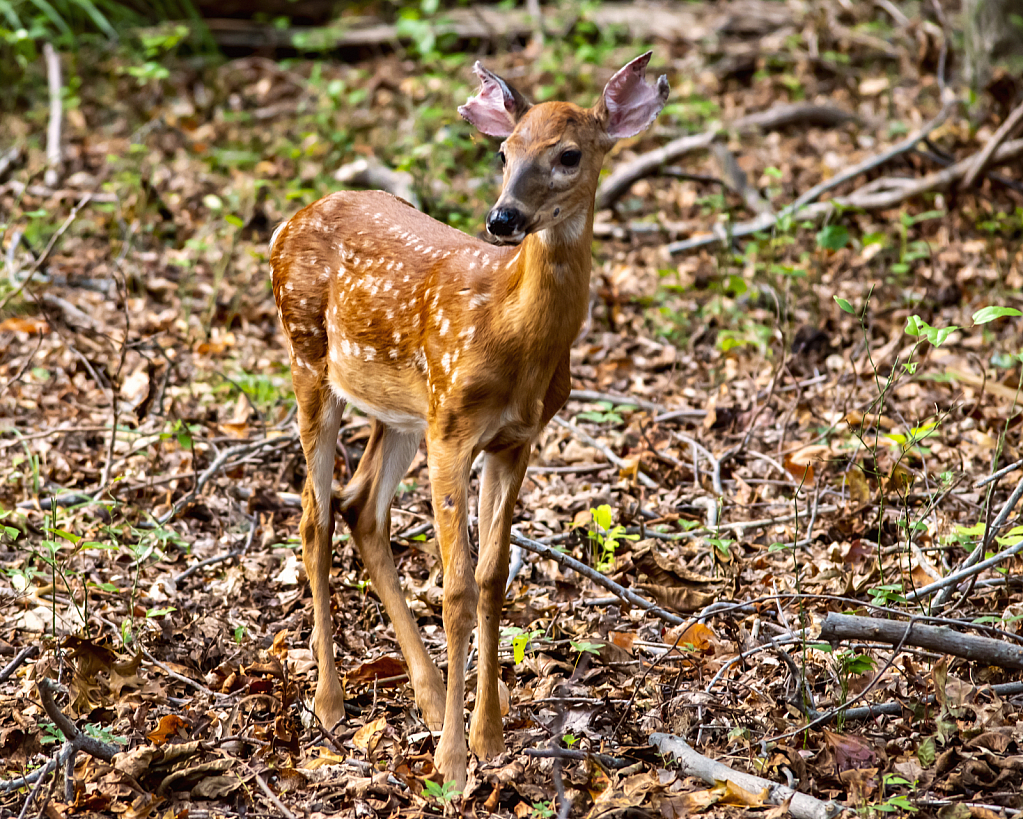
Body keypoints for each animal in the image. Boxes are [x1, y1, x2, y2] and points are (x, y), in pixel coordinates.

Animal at [270, 54, 671, 789]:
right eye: (502, 152)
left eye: (568, 155)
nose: (504, 217)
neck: (513, 333)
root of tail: (289, 222)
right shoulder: (454, 432)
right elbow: (454, 588)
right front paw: (453, 763)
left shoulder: (515, 439)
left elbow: (491, 577)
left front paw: (487, 732)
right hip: (308, 356)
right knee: (314, 514)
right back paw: (330, 701)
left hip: (403, 409)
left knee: (358, 505)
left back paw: (427, 695)